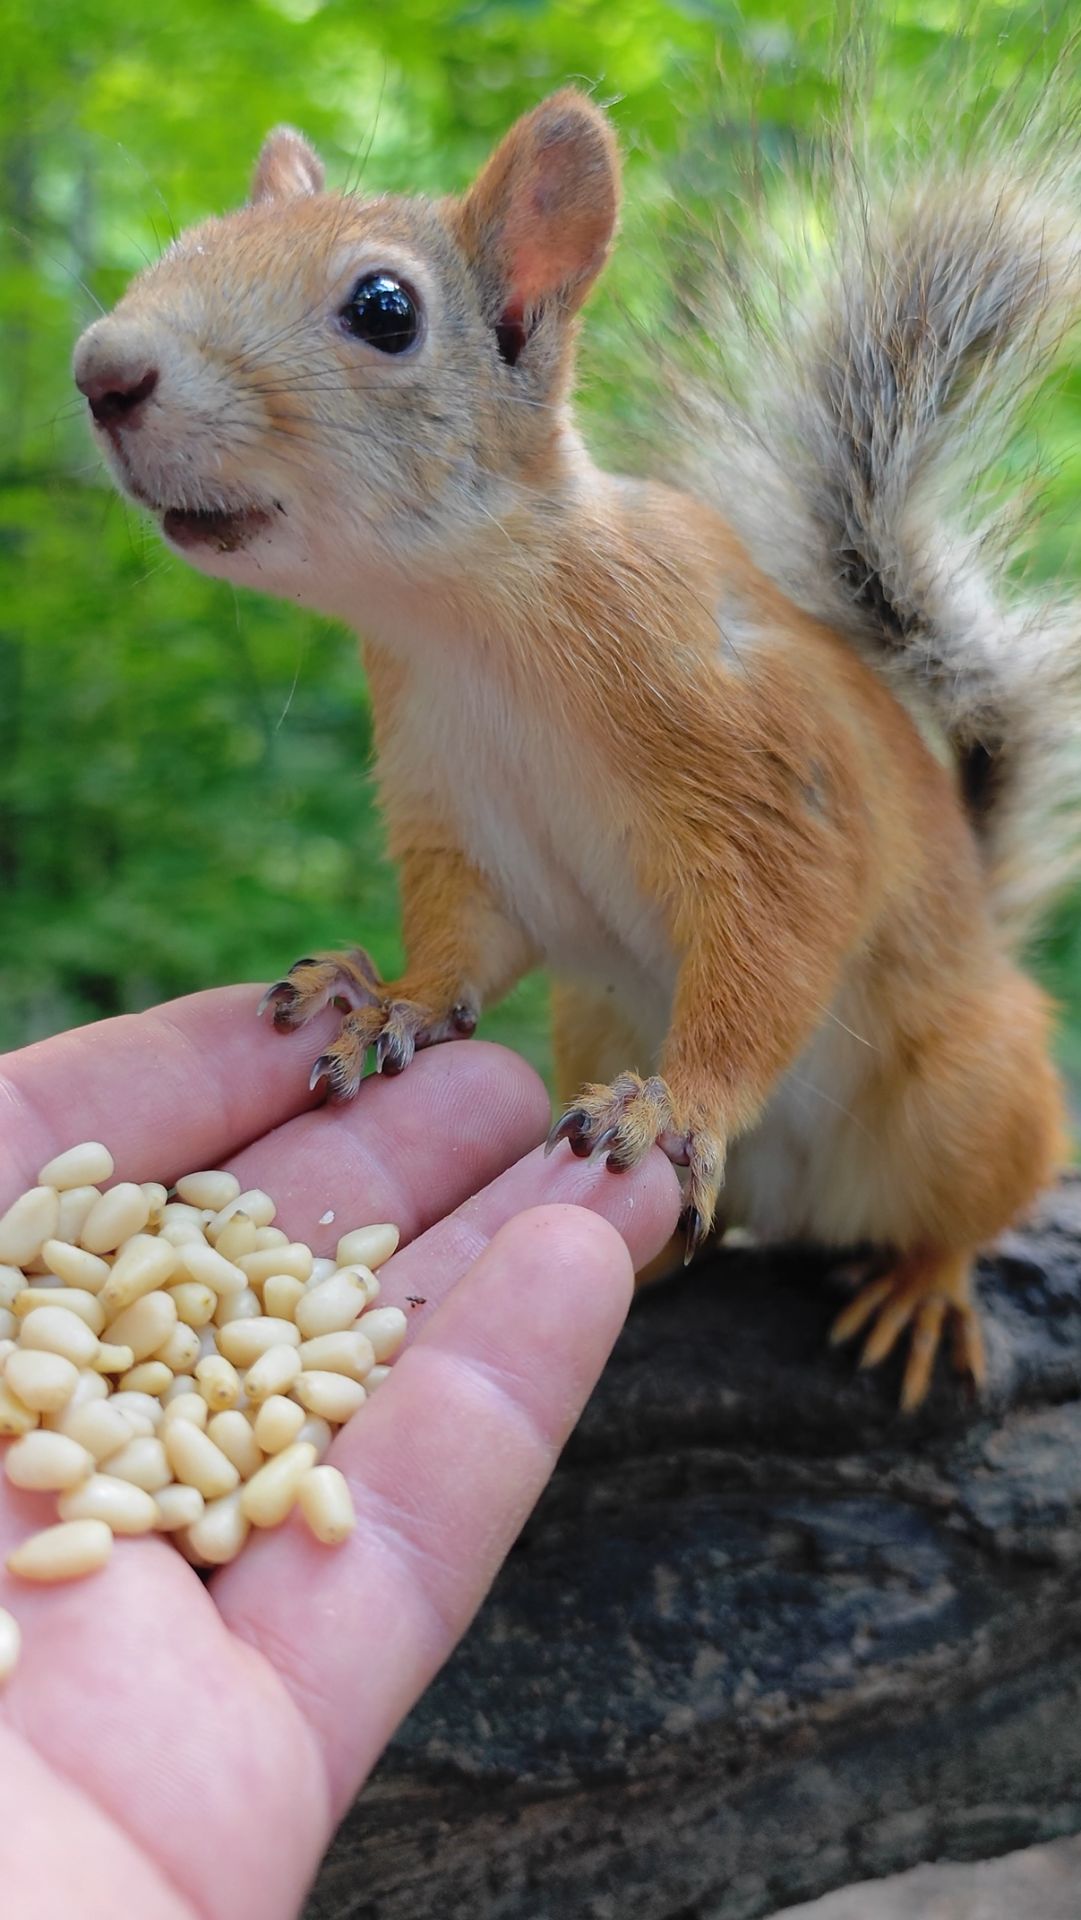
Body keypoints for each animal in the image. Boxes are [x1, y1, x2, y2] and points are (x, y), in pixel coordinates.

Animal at [72, 89, 1081, 1410]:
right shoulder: (454, 815)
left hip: (966, 1092)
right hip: (594, 1018)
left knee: (967, 1203)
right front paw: (382, 997)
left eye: (383, 309)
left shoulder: (766, 784)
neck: (460, 623)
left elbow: (776, 943)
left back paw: (921, 1286)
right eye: (185, 243)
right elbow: (468, 945)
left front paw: (677, 1105)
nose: (102, 372)